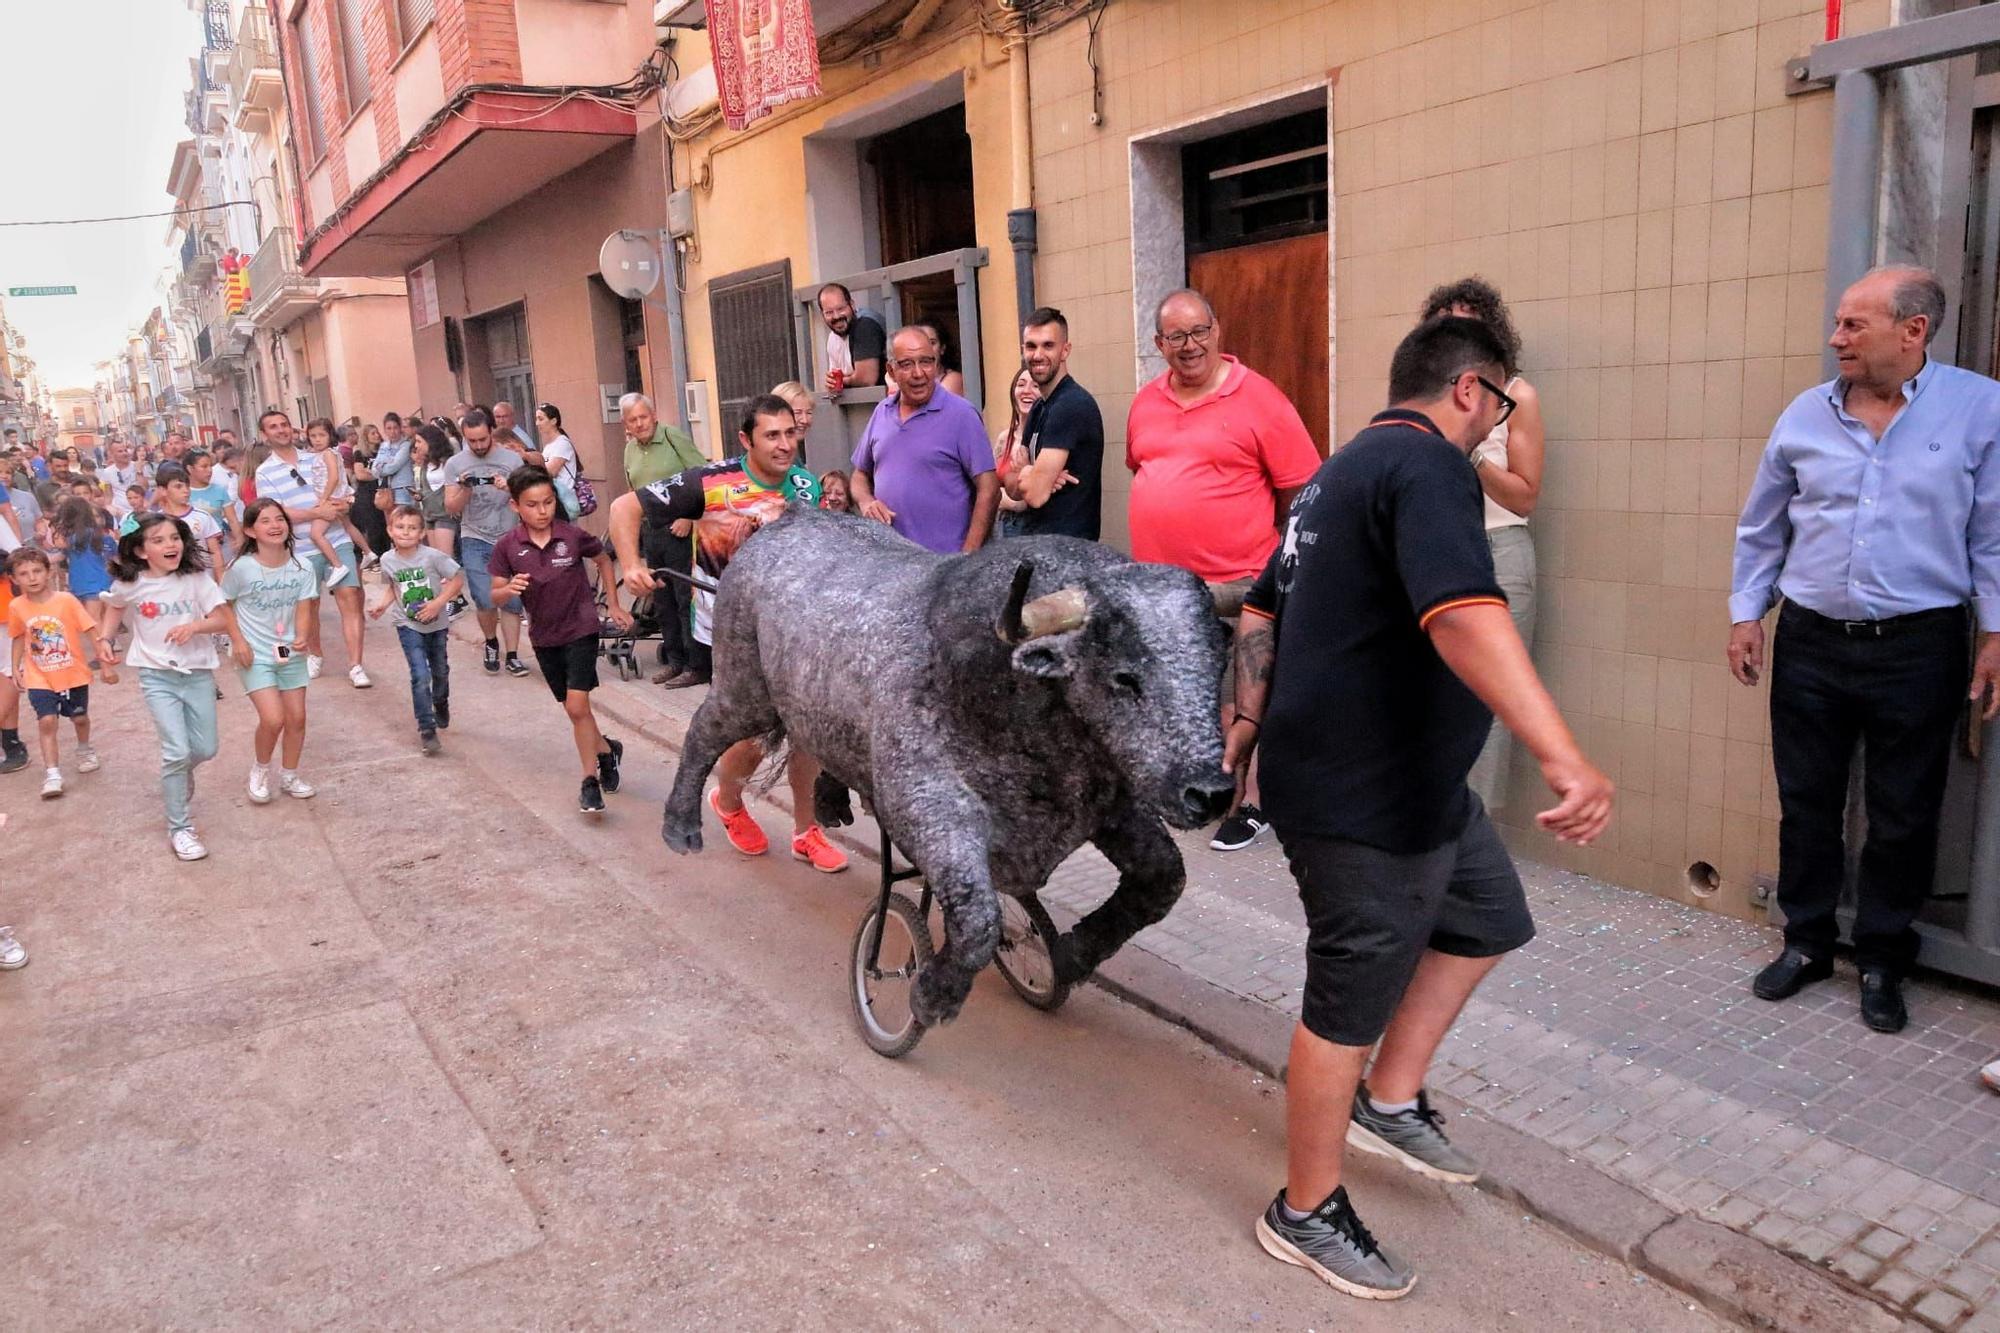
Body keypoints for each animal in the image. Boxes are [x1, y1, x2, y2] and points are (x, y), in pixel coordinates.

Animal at [660, 504, 1232, 1056]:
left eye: (1215, 666)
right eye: (1124, 678)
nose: (1210, 793)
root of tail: (782, 527)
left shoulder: (1111, 804)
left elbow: (1163, 878)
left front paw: (1071, 952)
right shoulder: (926, 804)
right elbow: (977, 918)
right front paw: (931, 994)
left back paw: (829, 804)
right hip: (744, 689)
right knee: (704, 732)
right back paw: (681, 827)